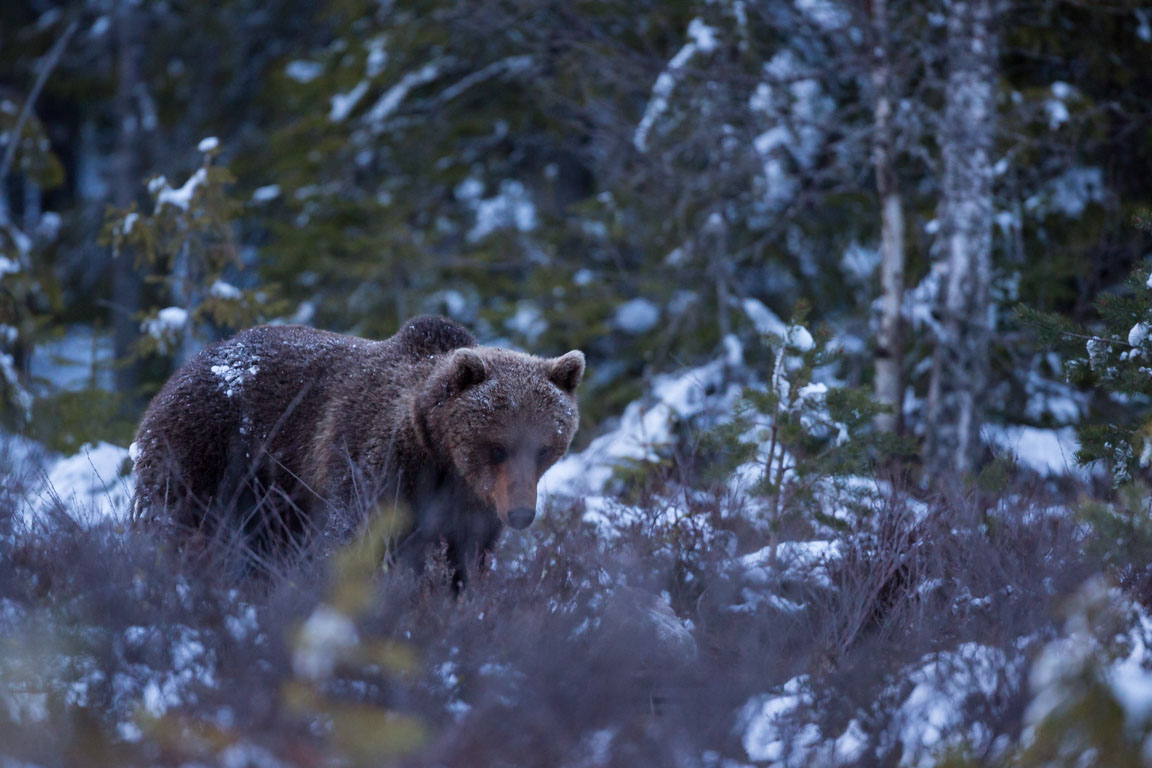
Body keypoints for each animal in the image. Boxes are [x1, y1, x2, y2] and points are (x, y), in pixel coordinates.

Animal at [132, 313, 585, 582]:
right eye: (497, 446)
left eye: (544, 448)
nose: (522, 513)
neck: (439, 457)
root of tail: (182, 370)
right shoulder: (375, 463)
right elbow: (353, 539)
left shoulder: (474, 505)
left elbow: (466, 561)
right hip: (206, 453)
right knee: (179, 523)